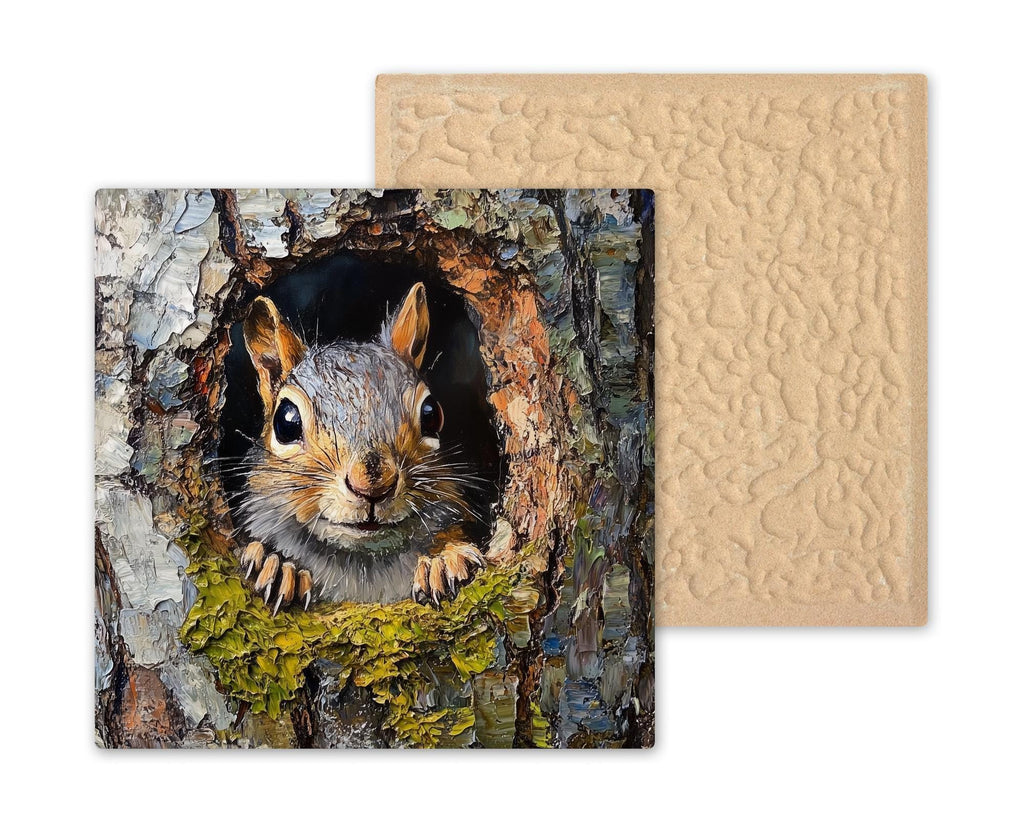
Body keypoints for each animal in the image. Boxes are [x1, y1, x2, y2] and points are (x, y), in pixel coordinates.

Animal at [232, 282, 486, 613]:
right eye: (285, 422)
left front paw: (444, 560)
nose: (372, 486)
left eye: (432, 413)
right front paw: (275, 566)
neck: (363, 561)